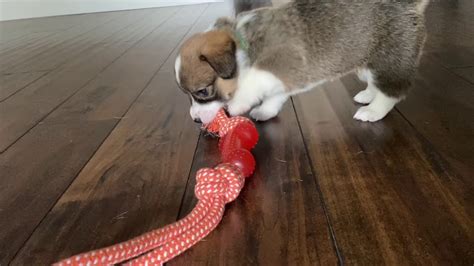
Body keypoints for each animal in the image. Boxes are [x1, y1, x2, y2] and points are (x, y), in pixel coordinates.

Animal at [174, 0, 430, 124]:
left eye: (202, 92)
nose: (195, 120)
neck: (243, 43)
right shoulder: (282, 81)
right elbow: (274, 98)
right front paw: (265, 111)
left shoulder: (282, 64)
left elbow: (254, 81)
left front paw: (238, 103)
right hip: (366, 61)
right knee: (374, 82)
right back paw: (368, 95)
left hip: (389, 59)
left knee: (392, 91)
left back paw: (373, 110)